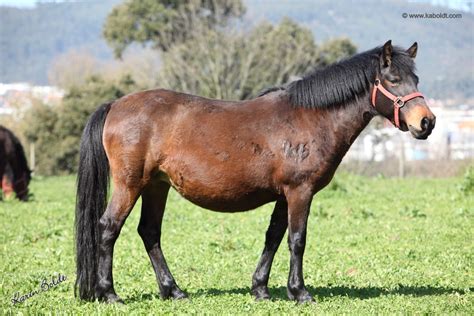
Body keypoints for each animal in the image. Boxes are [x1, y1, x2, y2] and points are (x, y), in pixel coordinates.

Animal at [76, 40, 436, 302]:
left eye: (416, 79)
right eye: (394, 80)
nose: (427, 122)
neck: (310, 117)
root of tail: (115, 105)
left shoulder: (284, 195)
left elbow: (273, 237)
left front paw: (260, 288)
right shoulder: (300, 192)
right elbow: (297, 240)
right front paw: (299, 292)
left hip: (156, 186)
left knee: (149, 232)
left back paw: (173, 290)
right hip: (130, 184)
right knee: (108, 228)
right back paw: (109, 293)